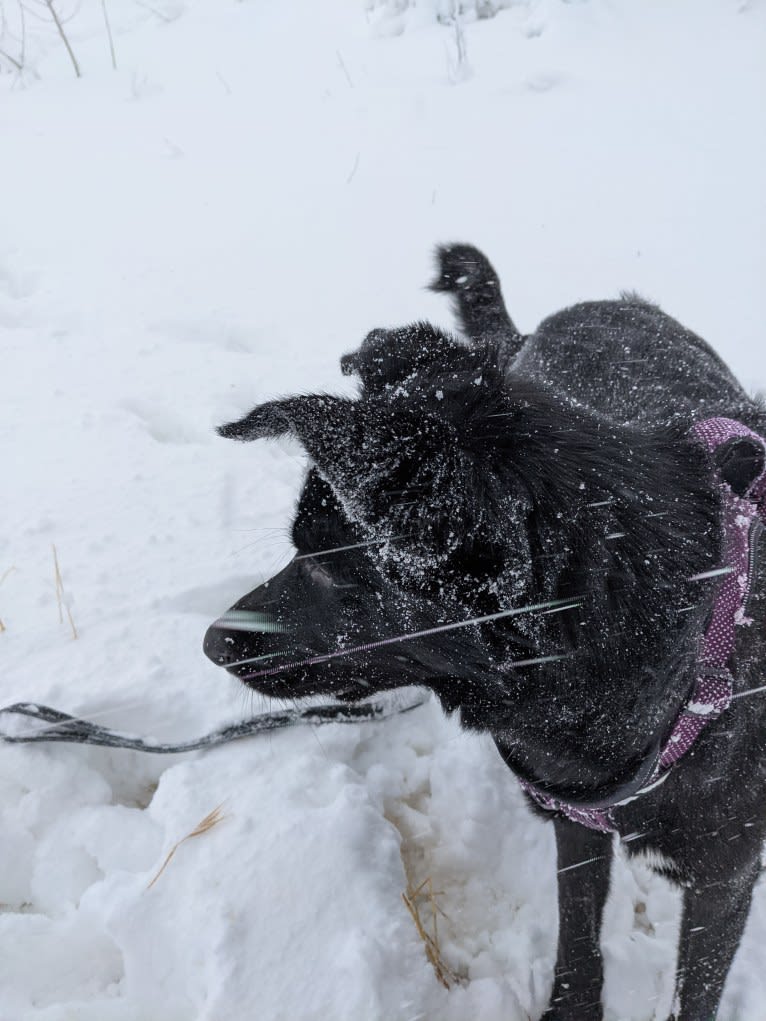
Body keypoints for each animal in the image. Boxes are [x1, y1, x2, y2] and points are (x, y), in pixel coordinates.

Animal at [204, 247, 766, 1021]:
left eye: (328, 566)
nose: (211, 642)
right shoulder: (574, 817)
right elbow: (577, 931)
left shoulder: (726, 876)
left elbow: (695, 989)